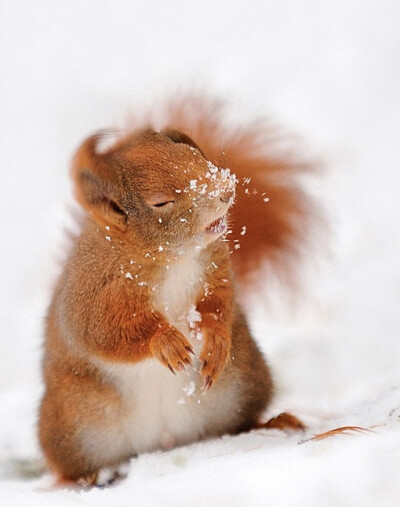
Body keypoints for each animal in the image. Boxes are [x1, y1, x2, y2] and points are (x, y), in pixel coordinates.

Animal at [38, 97, 312, 486]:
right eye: (160, 202)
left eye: (195, 156)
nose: (225, 190)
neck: (172, 259)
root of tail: (163, 441)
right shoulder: (93, 294)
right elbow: (105, 332)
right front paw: (163, 341)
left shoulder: (214, 266)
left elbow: (220, 302)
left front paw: (215, 337)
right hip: (74, 426)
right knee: (69, 465)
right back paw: (79, 481)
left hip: (243, 384)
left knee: (237, 424)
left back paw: (273, 423)